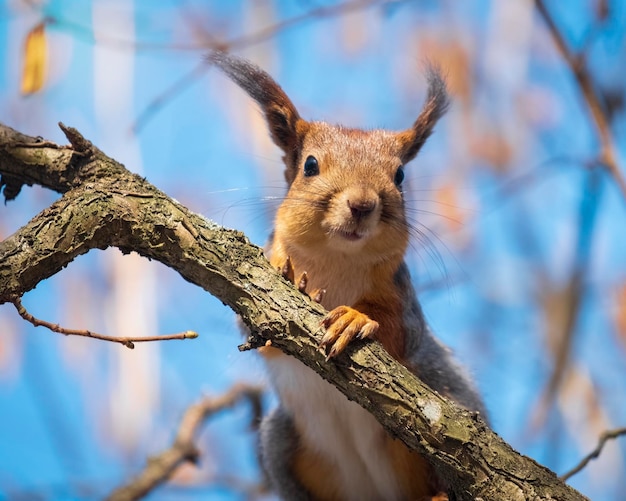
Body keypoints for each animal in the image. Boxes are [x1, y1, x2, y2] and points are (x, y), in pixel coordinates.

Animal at [208, 51, 482, 500]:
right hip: (282, 444)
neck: (336, 259)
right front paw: (292, 278)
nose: (362, 204)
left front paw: (355, 319)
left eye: (400, 175)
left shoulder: (401, 296)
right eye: (310, 165)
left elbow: (403, 333)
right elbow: (257, 332)